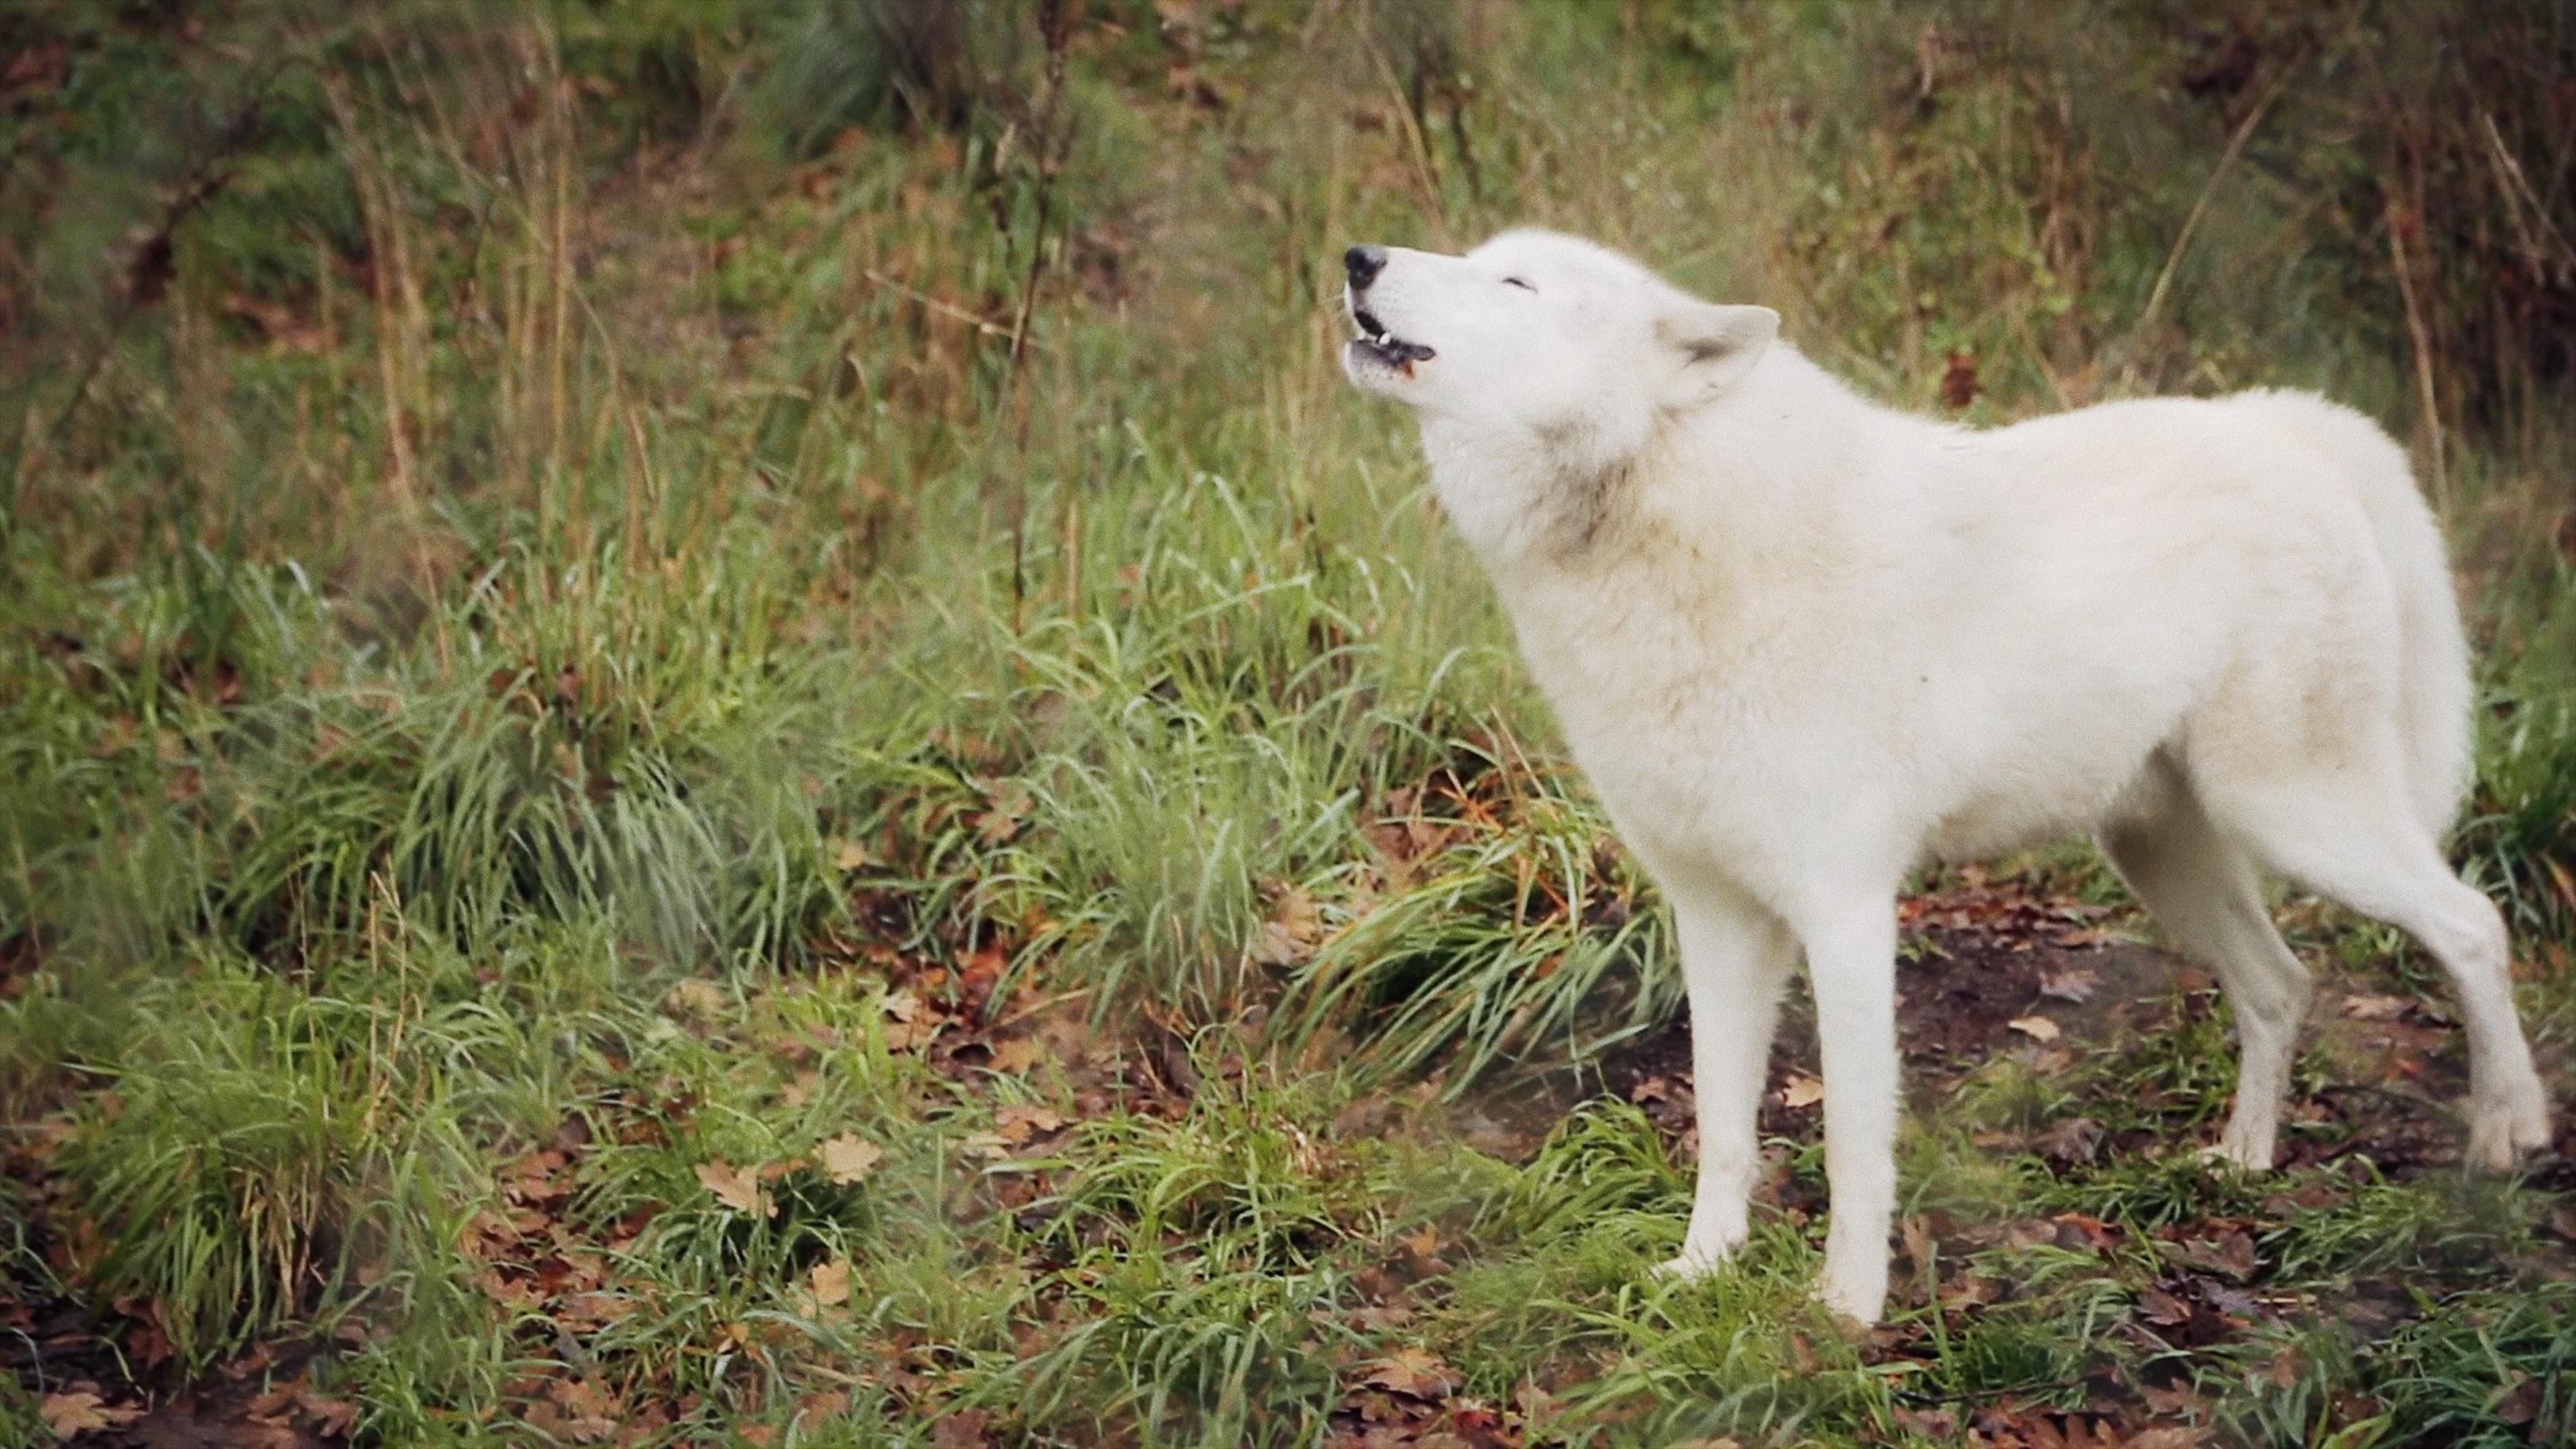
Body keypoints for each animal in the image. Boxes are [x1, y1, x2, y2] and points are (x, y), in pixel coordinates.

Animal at [1338, 228, 2551, 1325]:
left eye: (1513, 281)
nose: (1358, 260)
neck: (1662, 530)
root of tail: (2288, 424)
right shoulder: (1715, 916)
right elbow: (1723, 1128)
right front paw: (1701, 1276)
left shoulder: (1844, 910)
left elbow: (1849, 1141)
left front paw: (1846, 1312)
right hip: (2167, 858)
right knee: (2283, 985)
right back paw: (2243, 1159)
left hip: (2302, 820)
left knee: (2472, 924)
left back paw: (2509, 1131)